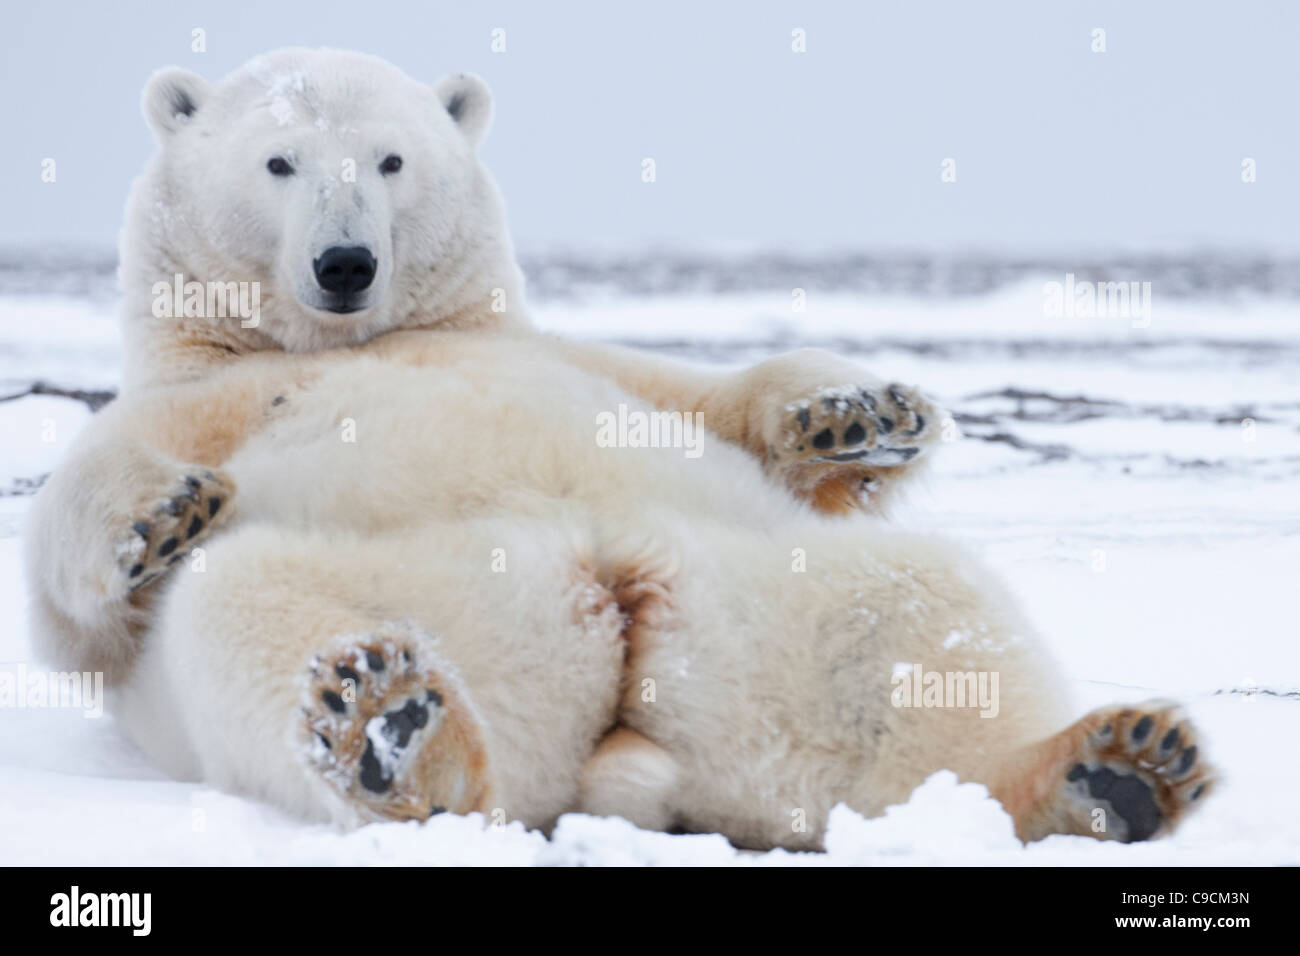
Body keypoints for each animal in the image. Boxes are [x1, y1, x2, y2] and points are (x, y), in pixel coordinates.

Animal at [25, 48, 1211, 848]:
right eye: (278, 160)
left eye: (392, 159)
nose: (347, 261)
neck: (332, 343)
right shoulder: (200, 399)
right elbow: (75, 581)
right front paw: (161, 513)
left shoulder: (540, 350)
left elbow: (697, 401)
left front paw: (858, 414)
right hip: (458, 603)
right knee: (245, 606)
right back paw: (392, 729)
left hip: (759, 601)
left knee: (916, 627)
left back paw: (1109, 769)